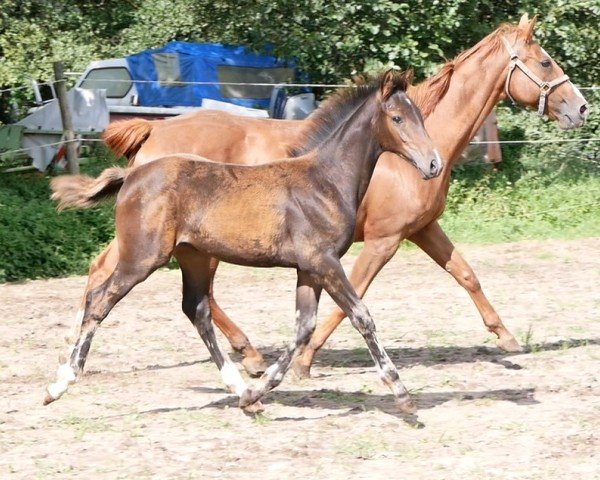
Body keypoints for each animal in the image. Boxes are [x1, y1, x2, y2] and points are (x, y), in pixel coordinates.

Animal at [45, 70, 440, 412]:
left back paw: (239, 389)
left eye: (420, 117)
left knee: (196, 310)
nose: (433, 164)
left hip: (193, 257)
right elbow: (361, 315)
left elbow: (303, 327)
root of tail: (130, 176)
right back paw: (59, 384)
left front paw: (257, 391)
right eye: (397, 118)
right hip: (142, 257)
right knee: (100, 299)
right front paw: (401, 392)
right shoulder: (324, 261)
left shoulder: (309, 268)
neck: (325, 181)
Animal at [101, 14, 588, 378]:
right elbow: (351, 298)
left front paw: (506, 337)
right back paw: (249, 356)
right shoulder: (381, 242)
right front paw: (303, 362)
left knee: (115, 271)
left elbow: (465, 274)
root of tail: (153, 131)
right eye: (544, 62)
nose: (581, 108)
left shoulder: (423, 229)